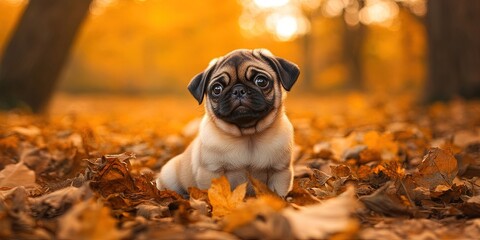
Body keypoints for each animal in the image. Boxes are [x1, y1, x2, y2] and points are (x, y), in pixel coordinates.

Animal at [156, 48, 298, 197]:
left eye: (261, 81)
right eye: (217, 89)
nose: (238, 90)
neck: (248, 136)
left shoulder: (279, 172)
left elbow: (277, 194)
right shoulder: (211, 172)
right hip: (170, 175)